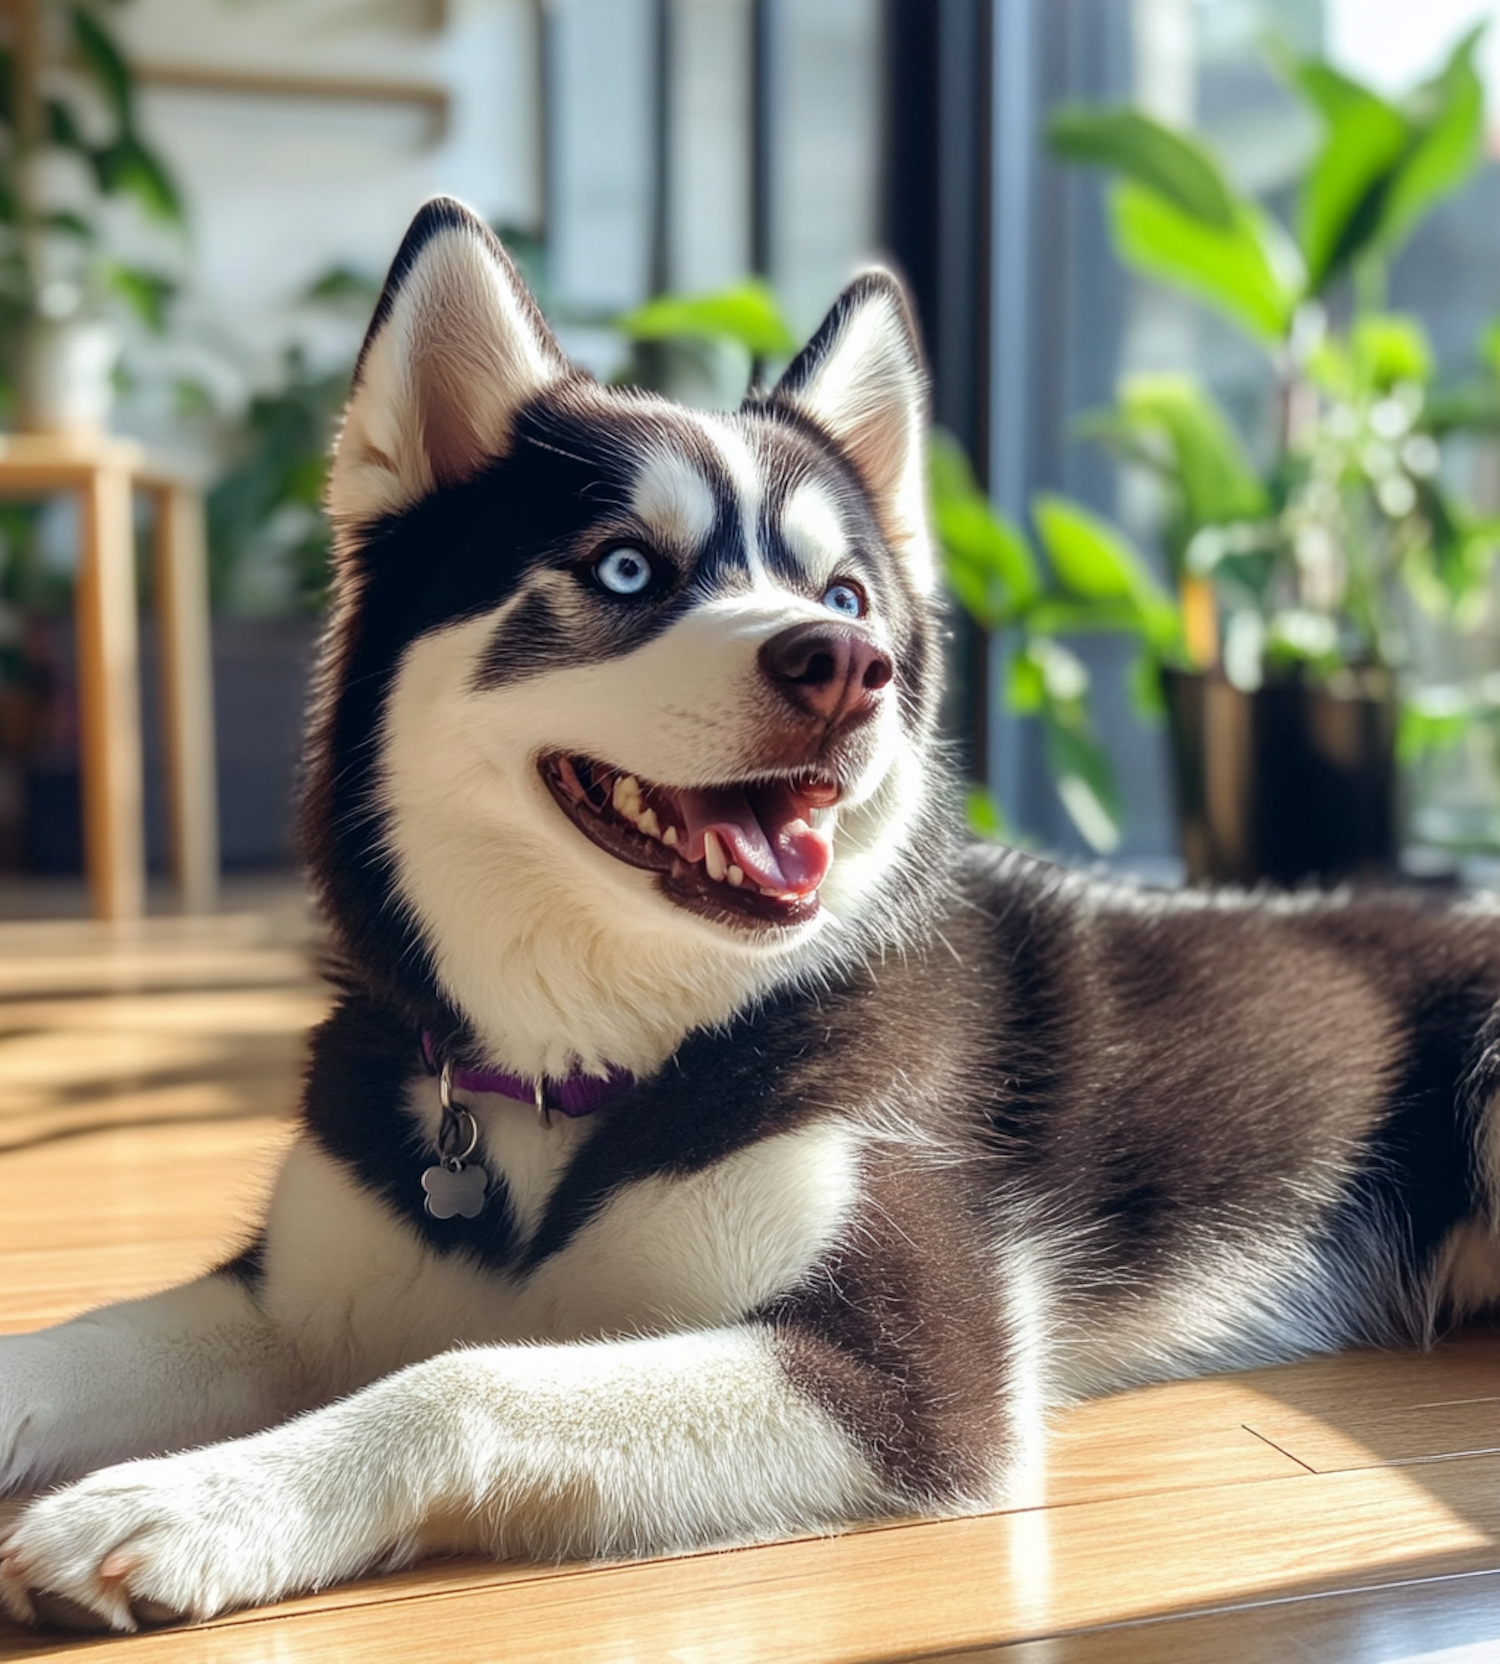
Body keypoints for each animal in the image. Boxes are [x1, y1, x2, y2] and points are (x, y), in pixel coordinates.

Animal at [2, 198, 1498, 1624]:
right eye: (624, 570)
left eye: (843, 592)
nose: (849, 664)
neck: (585, 1065)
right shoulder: (304, 1285)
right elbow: (94, 1340)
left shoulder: (911, 1373)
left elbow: (469, 1378)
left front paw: (188, 1503)